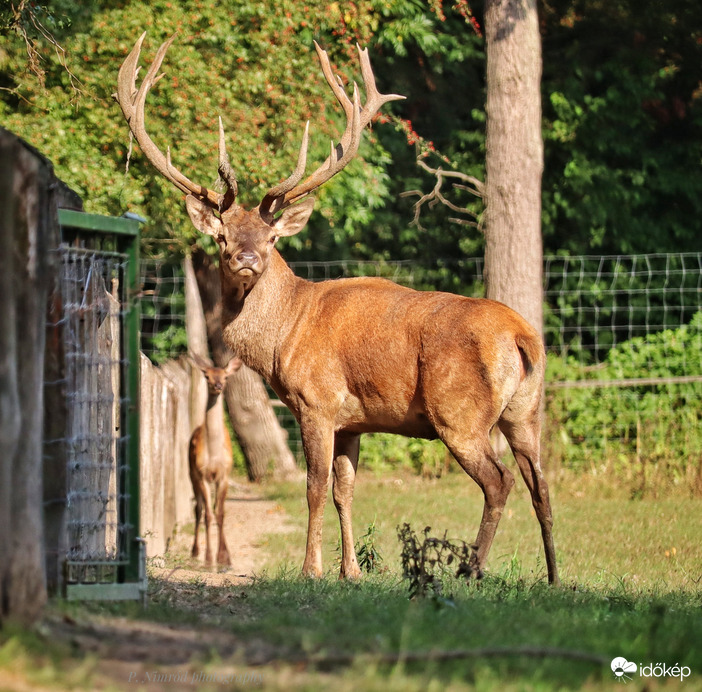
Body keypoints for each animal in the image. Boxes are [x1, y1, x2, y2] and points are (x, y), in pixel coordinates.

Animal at [118, 32, 564, 584]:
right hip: (526, 412)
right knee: (540, 484)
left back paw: (472, 570)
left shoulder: (317, 402)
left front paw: (311, 568)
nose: (246, 258)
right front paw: (351, 570)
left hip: (459, 412)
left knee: (499, 480)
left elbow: (313, 488)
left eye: (271, 237)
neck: (282, 339)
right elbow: (344, 491)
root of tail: (524, 339)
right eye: (222, 236)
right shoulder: (353, 420)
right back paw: (554, 577)